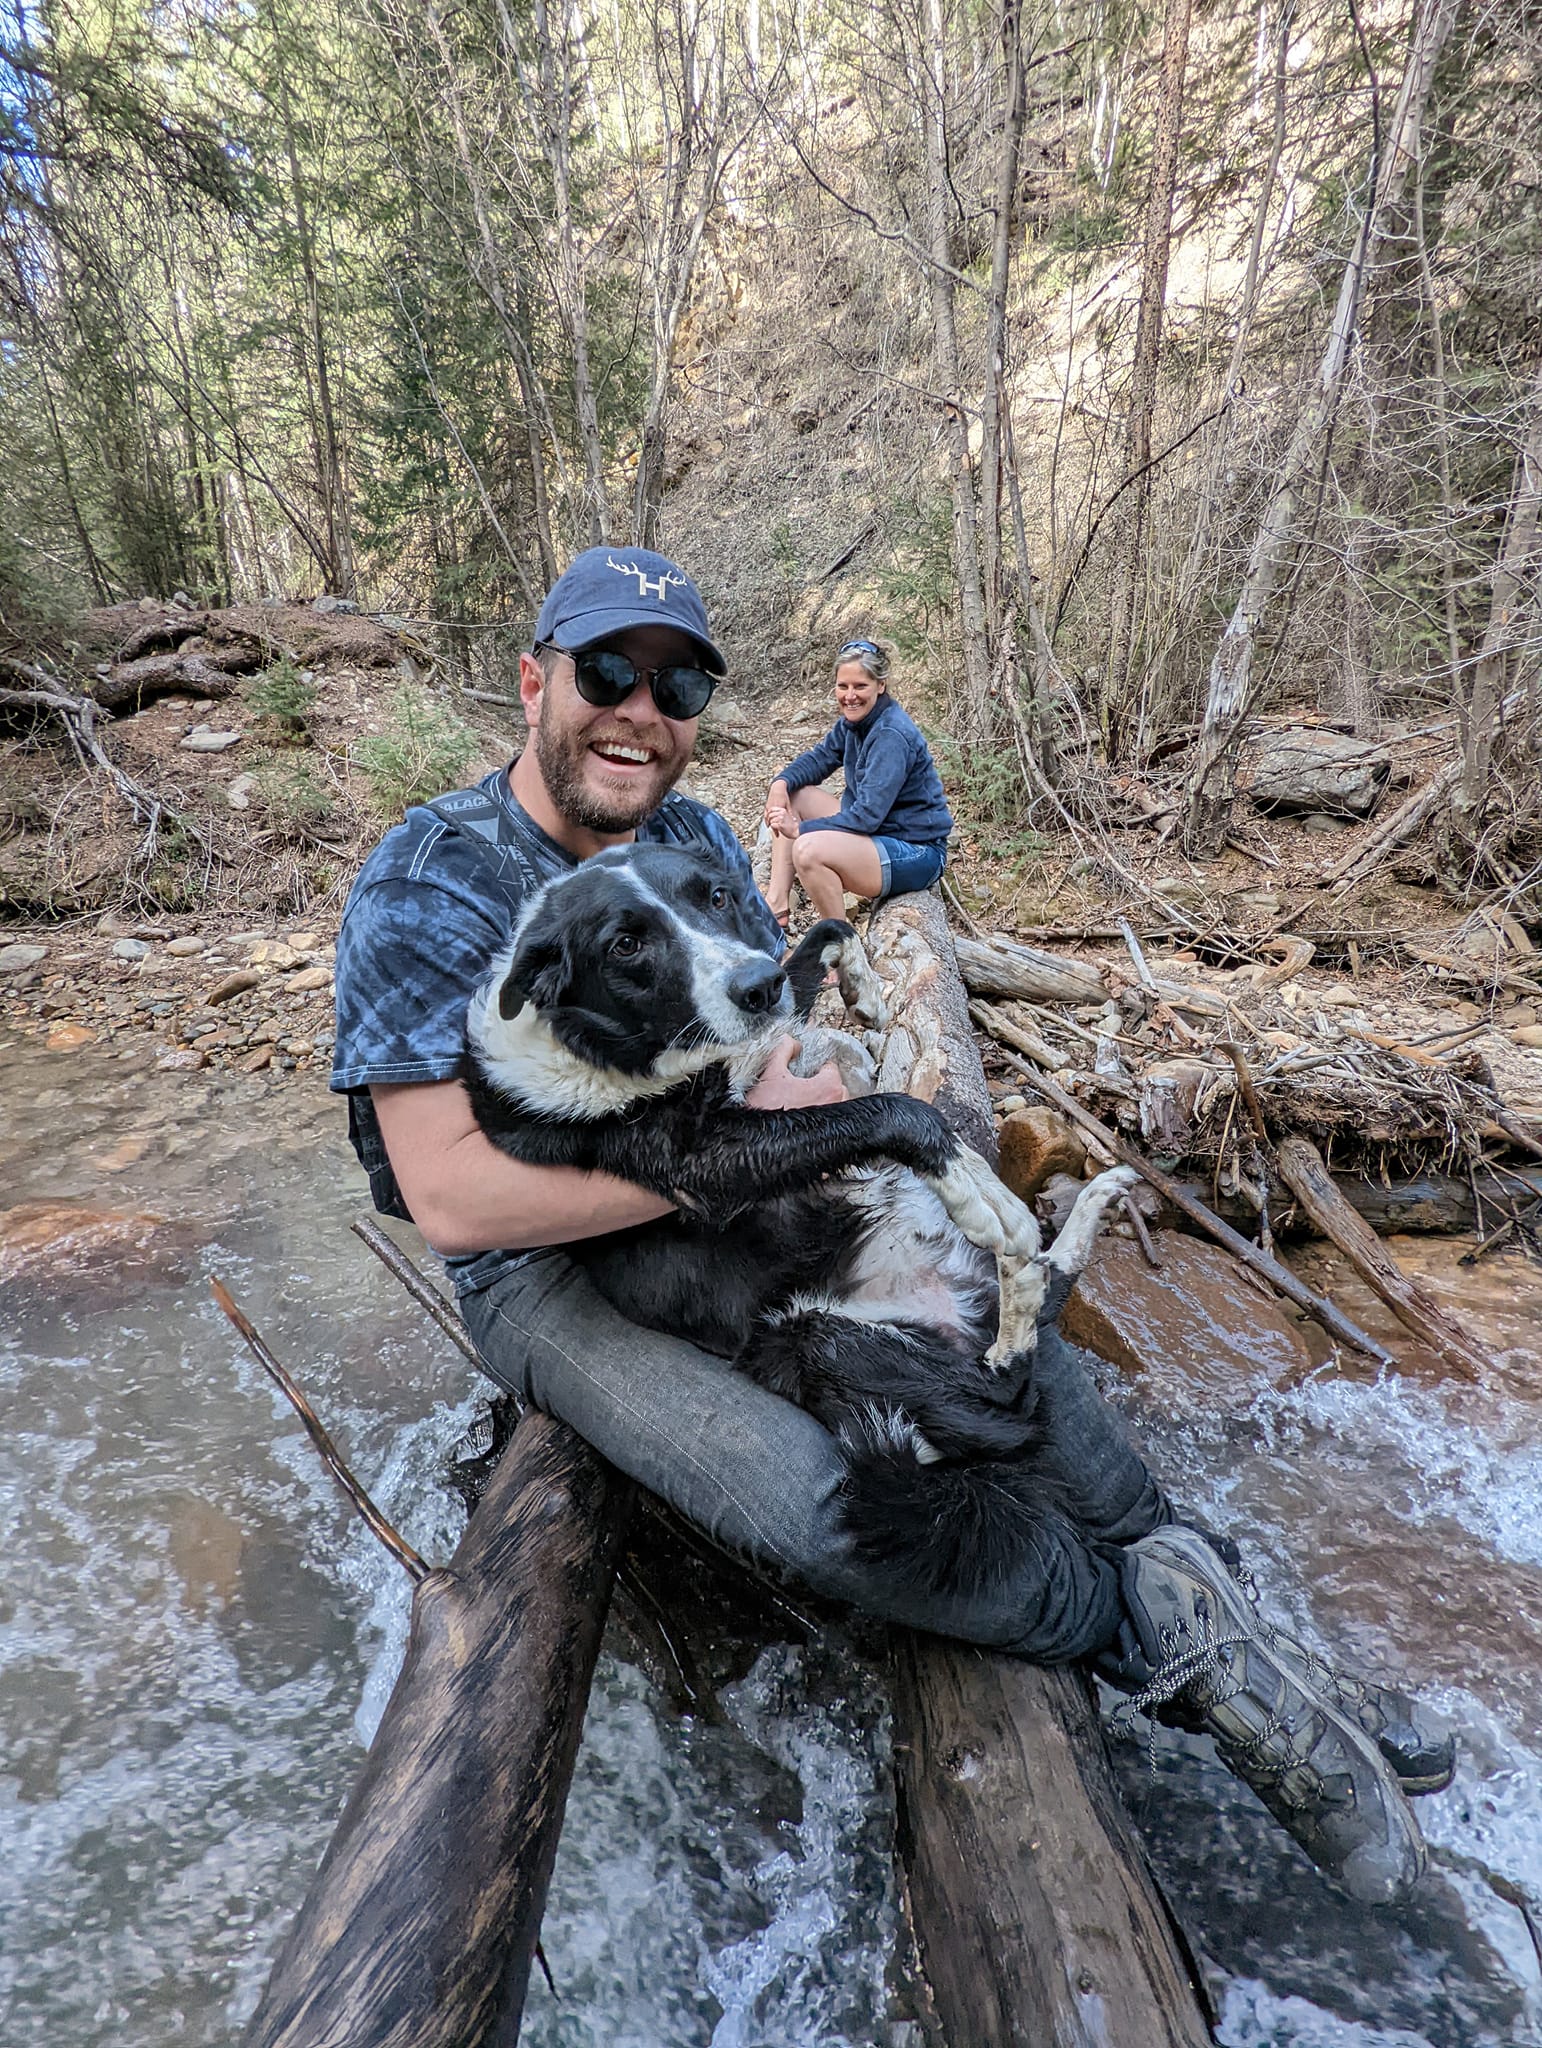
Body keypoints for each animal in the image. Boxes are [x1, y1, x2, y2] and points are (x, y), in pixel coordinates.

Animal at [462, 839, 1138, 1589]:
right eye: (626, 944)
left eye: (717, 897)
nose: (754, 987)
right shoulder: (705, 1160)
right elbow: (890, 1110)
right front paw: (967, 1178)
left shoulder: (769, 1026)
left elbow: (826, 945)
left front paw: (865, 999)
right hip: (812, 1337)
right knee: (1011, 1385)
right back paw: (1016, 1248)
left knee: (1039, 1311)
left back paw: (1085, 1211)